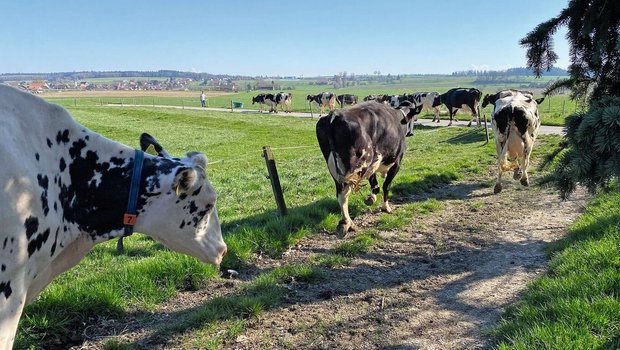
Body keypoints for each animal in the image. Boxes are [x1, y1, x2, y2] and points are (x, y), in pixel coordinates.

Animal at [318, 101, 424, 238]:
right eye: (414, 118)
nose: (411, 133)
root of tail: (335, 114)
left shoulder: (374, 164)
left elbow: (375, 185)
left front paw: (371, 199)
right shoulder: (397, 163)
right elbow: (386, 186)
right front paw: (385, 207)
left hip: (335, 169)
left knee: (340, 195)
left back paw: (347, 223)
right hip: (360, 163)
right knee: (345, 193)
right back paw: (346, 223)